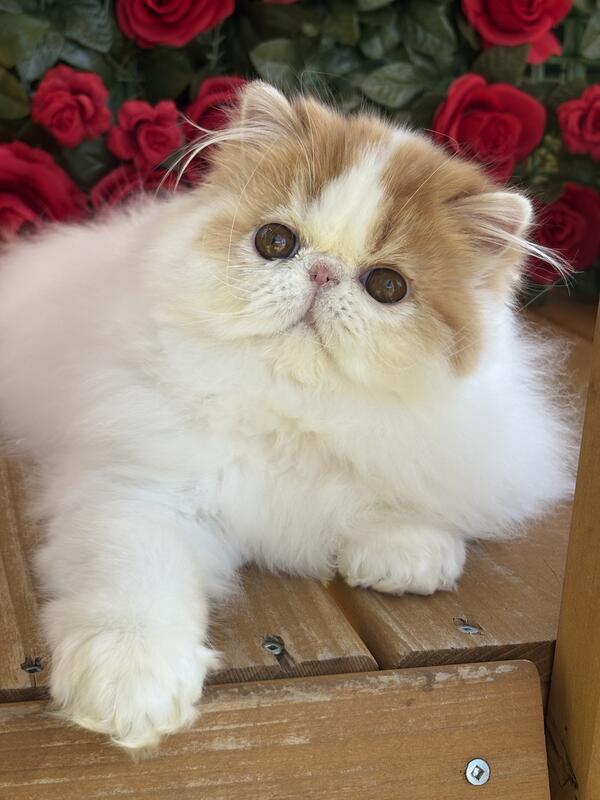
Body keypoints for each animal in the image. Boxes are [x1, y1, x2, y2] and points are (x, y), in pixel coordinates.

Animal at [0, 82, 574, 750]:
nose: (322, 273)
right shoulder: (137, 496)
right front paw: (130, 687)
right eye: (276, 242)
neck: (290, 410)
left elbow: (402, 495)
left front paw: (405, 553)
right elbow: (133, 590)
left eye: (387, 286)